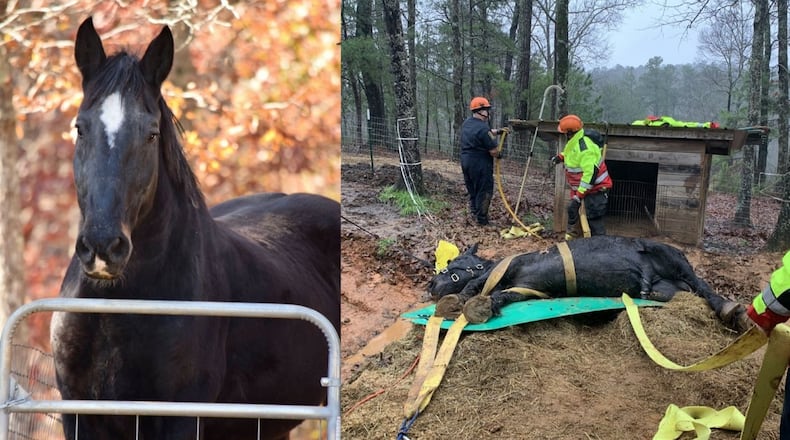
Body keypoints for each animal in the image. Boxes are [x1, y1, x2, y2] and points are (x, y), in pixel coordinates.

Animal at [49, 18, 340, 440]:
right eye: (80, 128)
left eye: (151, 133)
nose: (103, 246)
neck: (118, 307)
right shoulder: (79, 414)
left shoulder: (181, 418)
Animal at [426, 236, 747, 330]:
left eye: (451, 266)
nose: (430, 284)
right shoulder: (526, 290)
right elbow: (502, 296)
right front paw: (483, 304)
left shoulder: (513, 266)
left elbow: (476, 284)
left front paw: (462, 300)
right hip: (665, 290)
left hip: (671, 257)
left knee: (702, 284)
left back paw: (731, 309)